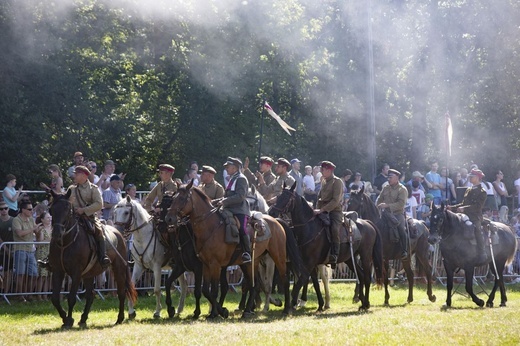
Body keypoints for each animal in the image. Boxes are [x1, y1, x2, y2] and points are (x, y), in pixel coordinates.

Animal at [47, 189, 136, 328]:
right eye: (51, 210)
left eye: (68, 209)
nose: (57, 233)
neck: (65, 243)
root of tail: (118, 233)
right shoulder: (58, 271)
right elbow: (55, 298)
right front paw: (65, 319)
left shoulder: (76, 273)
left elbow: (71, 298)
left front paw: (69, 320)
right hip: (89, 274)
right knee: (91, 295)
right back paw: (83, 319)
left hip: (118, 268)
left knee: (121, 292)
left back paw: (119, 318)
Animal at [162, 181, 300, 318]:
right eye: (173, 198)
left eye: (182, 198)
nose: (168, 218)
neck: (210, 227)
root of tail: (275, 221)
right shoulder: (205, 265)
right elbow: (206, 290)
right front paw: (219, 311)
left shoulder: (214, 265)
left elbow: (214, 290)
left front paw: (216, 313)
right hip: (252, 262)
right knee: (253, 285)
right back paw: (247, 310)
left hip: (278, 257)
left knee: (284, 279)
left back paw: (286, 308)